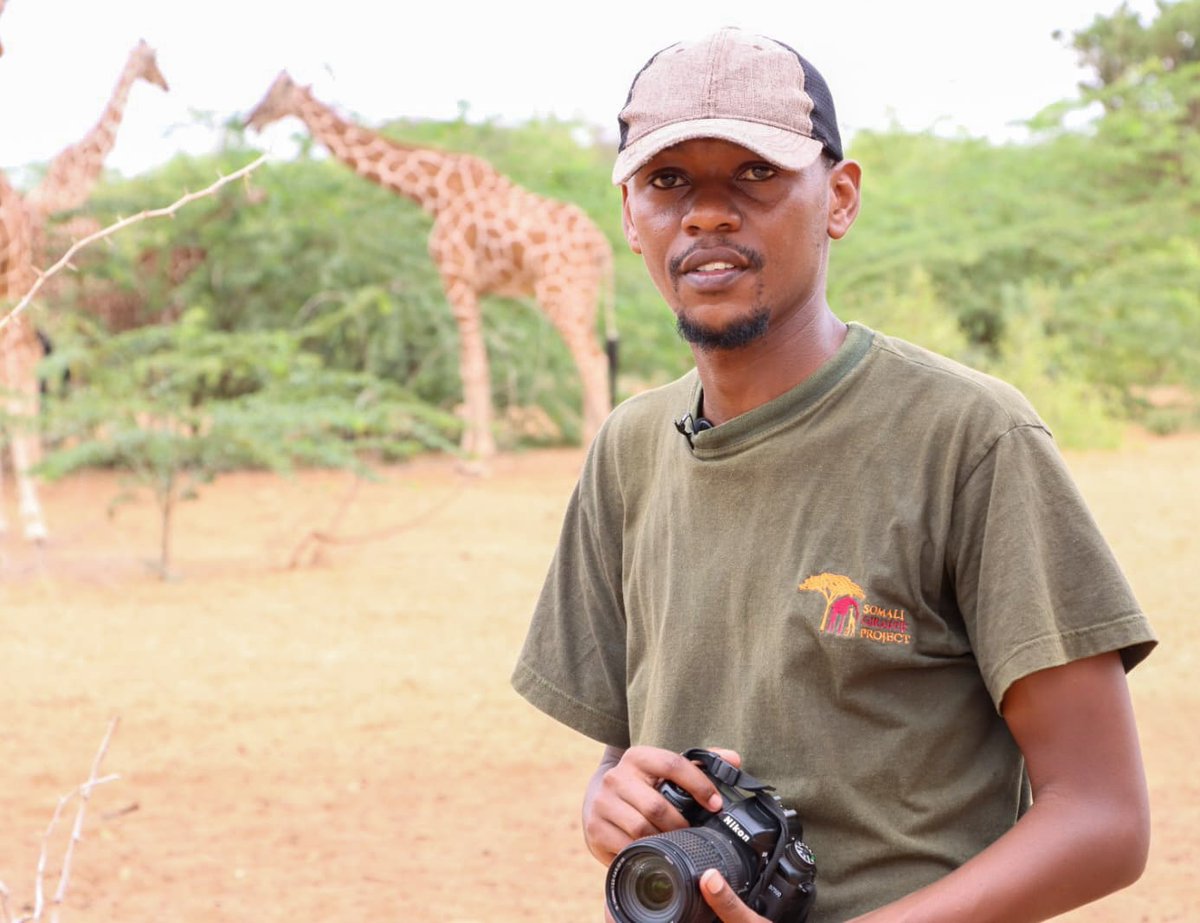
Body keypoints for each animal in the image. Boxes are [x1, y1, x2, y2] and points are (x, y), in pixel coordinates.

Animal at [243, 70, 619, 458]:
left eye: (273, 95)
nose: (249, 120)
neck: (432, 194)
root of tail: (603, 248)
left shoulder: (455, 277)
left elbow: (472, 366)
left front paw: (477, 455)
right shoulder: (472, 287)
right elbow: (473, 363)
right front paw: (471, 448)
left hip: (558, 293)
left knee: (592, 360)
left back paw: (587, 441)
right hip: (583, 296)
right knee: (591, 358)